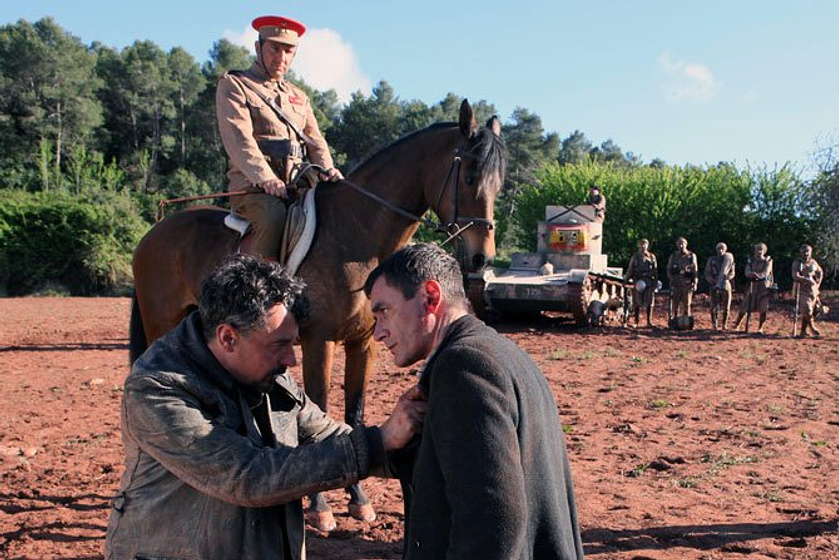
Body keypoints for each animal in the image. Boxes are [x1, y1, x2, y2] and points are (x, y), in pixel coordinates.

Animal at [129, 101, 508, 528]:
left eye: (499, 182)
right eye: (471, 175)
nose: (481, 257)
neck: (356, 237)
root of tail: (157, 229)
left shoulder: (364, 344)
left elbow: (353, 415)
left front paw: (358, 500)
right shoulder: (319, 341)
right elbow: (319, 407)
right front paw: (320, 507)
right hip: (160, 323)